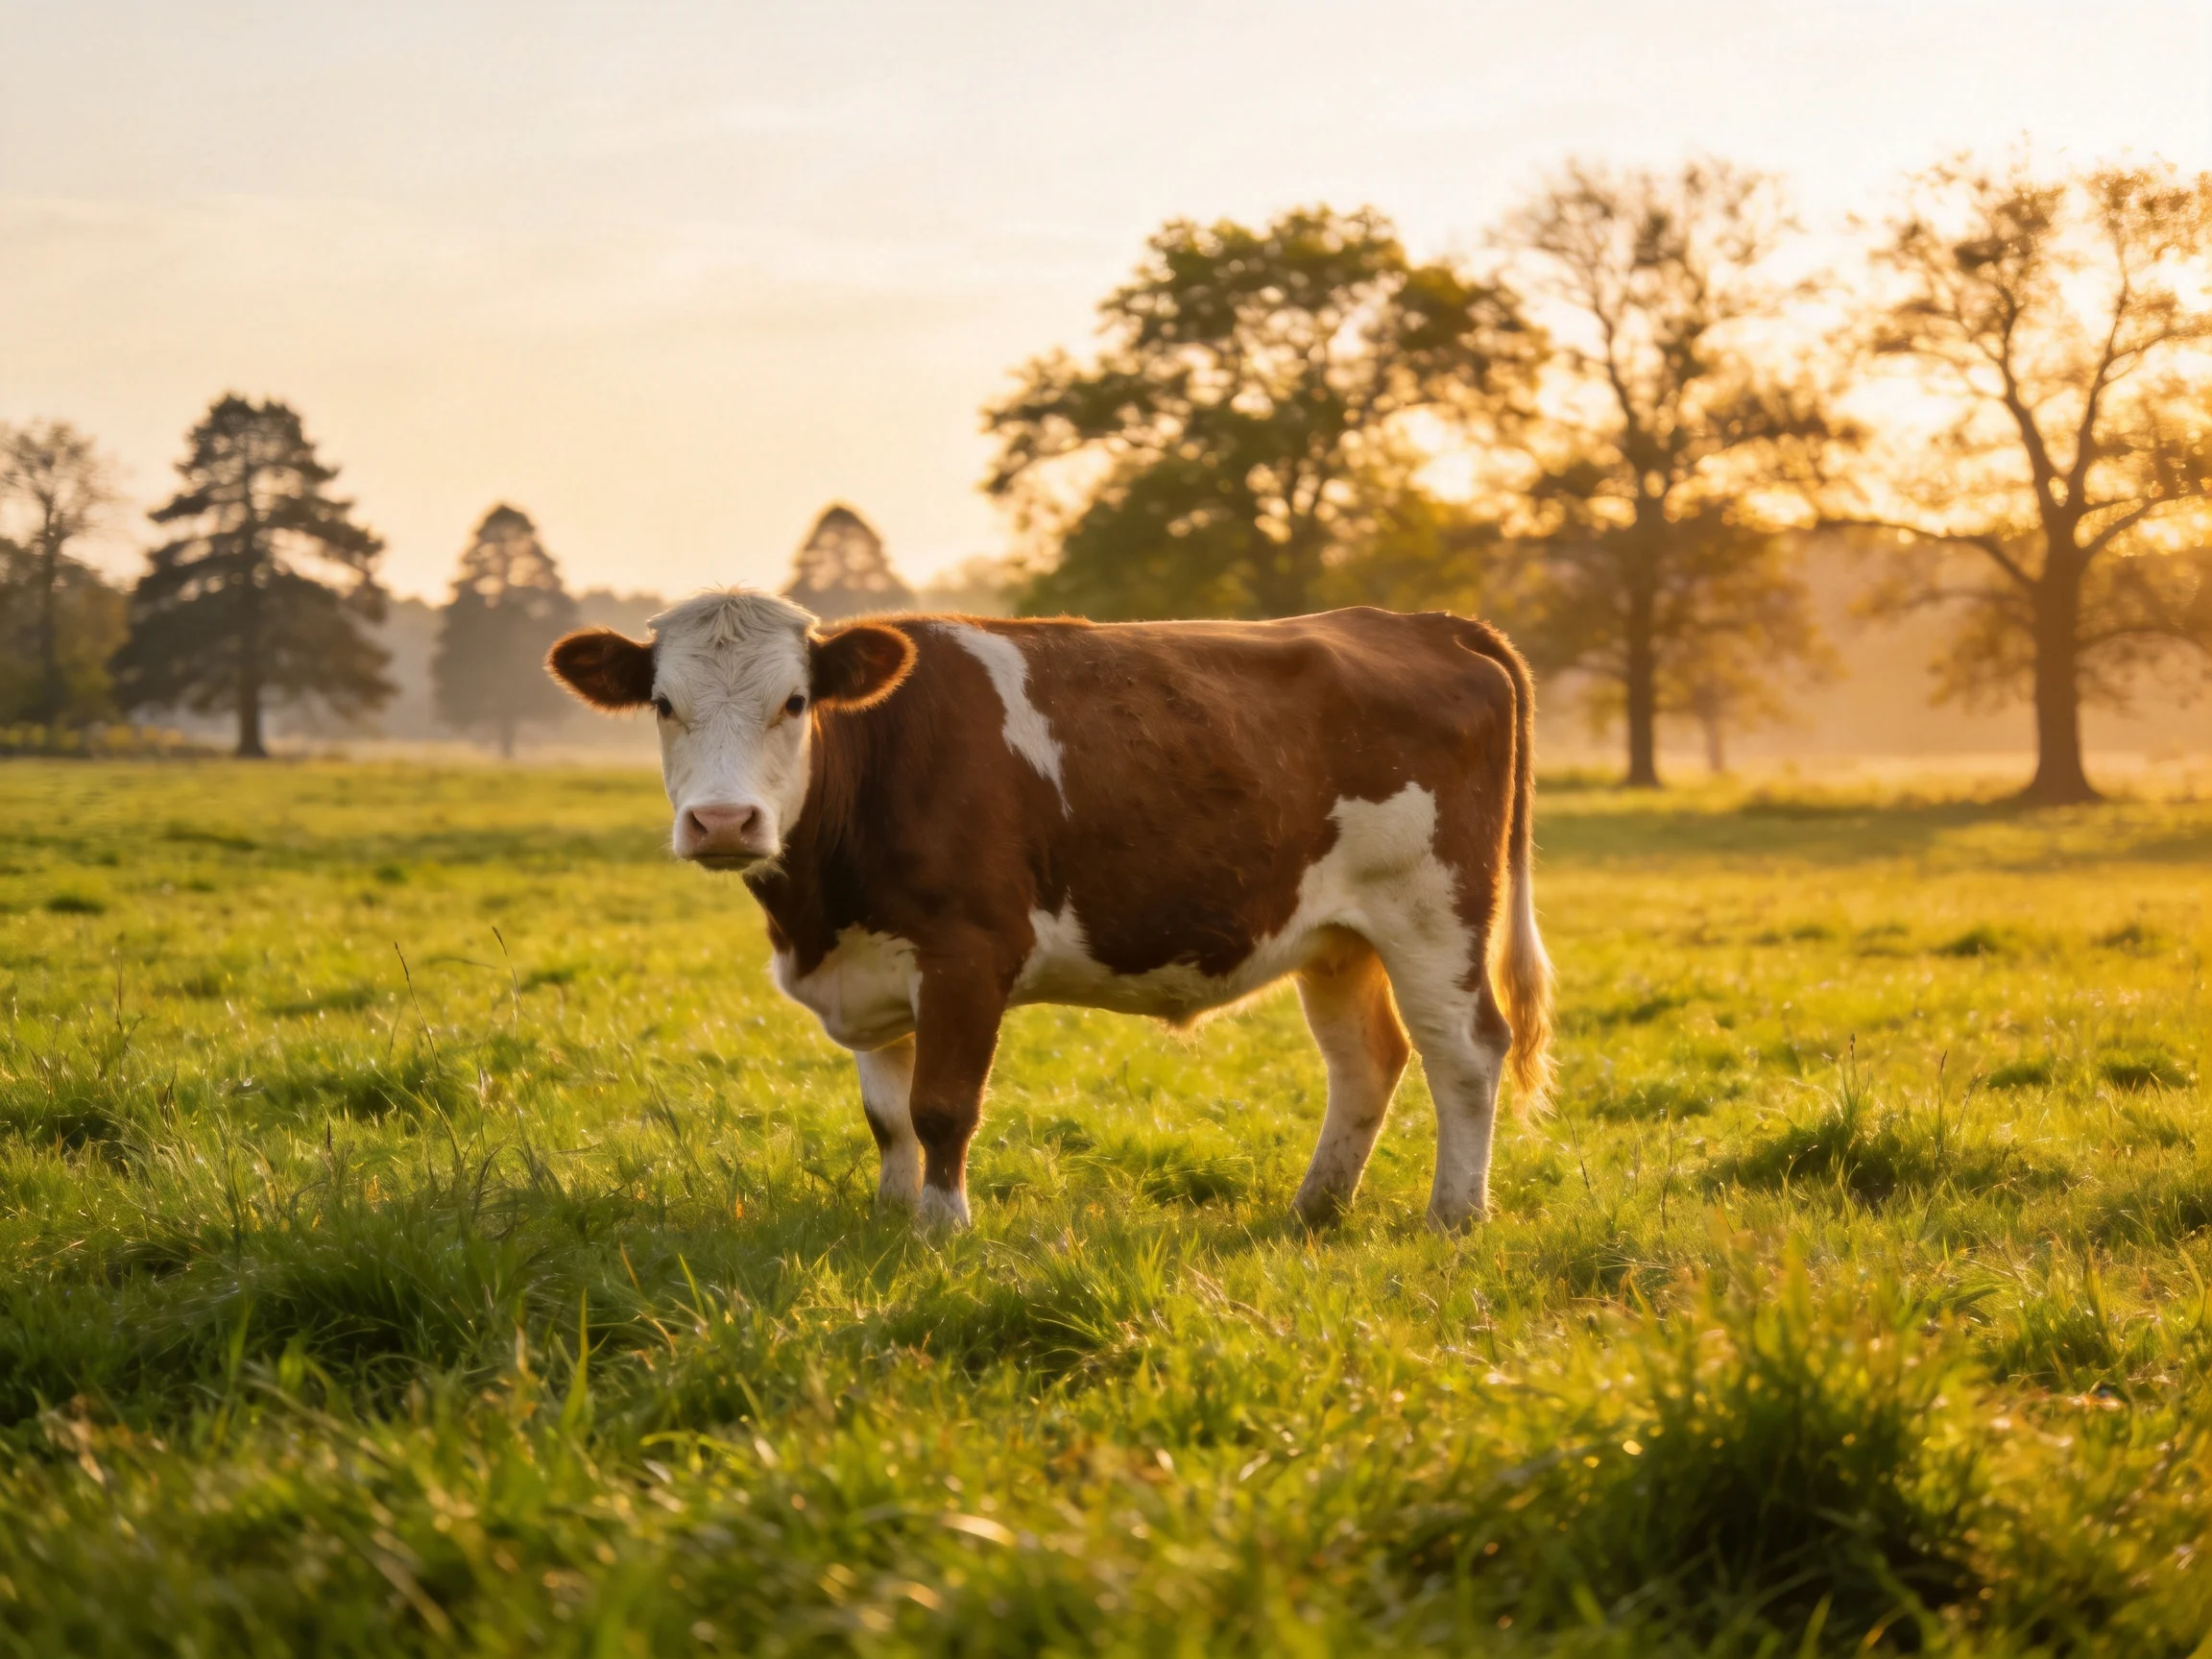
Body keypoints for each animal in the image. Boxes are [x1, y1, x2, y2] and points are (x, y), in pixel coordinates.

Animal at [547, 593, 1553, 1232]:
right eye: (663, 705)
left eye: (795, 702)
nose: (723, 821)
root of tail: (1422, 623)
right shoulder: (868, 969)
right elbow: (889, 1117)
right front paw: (887, 1215)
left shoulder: (967, 955)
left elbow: (943, 1106)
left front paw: (941, 1231)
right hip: (1337, 938)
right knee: (1366, 1060)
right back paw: (1315, 1209)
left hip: (1436, 914)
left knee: (1466, 1052)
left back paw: (1454, 1217)